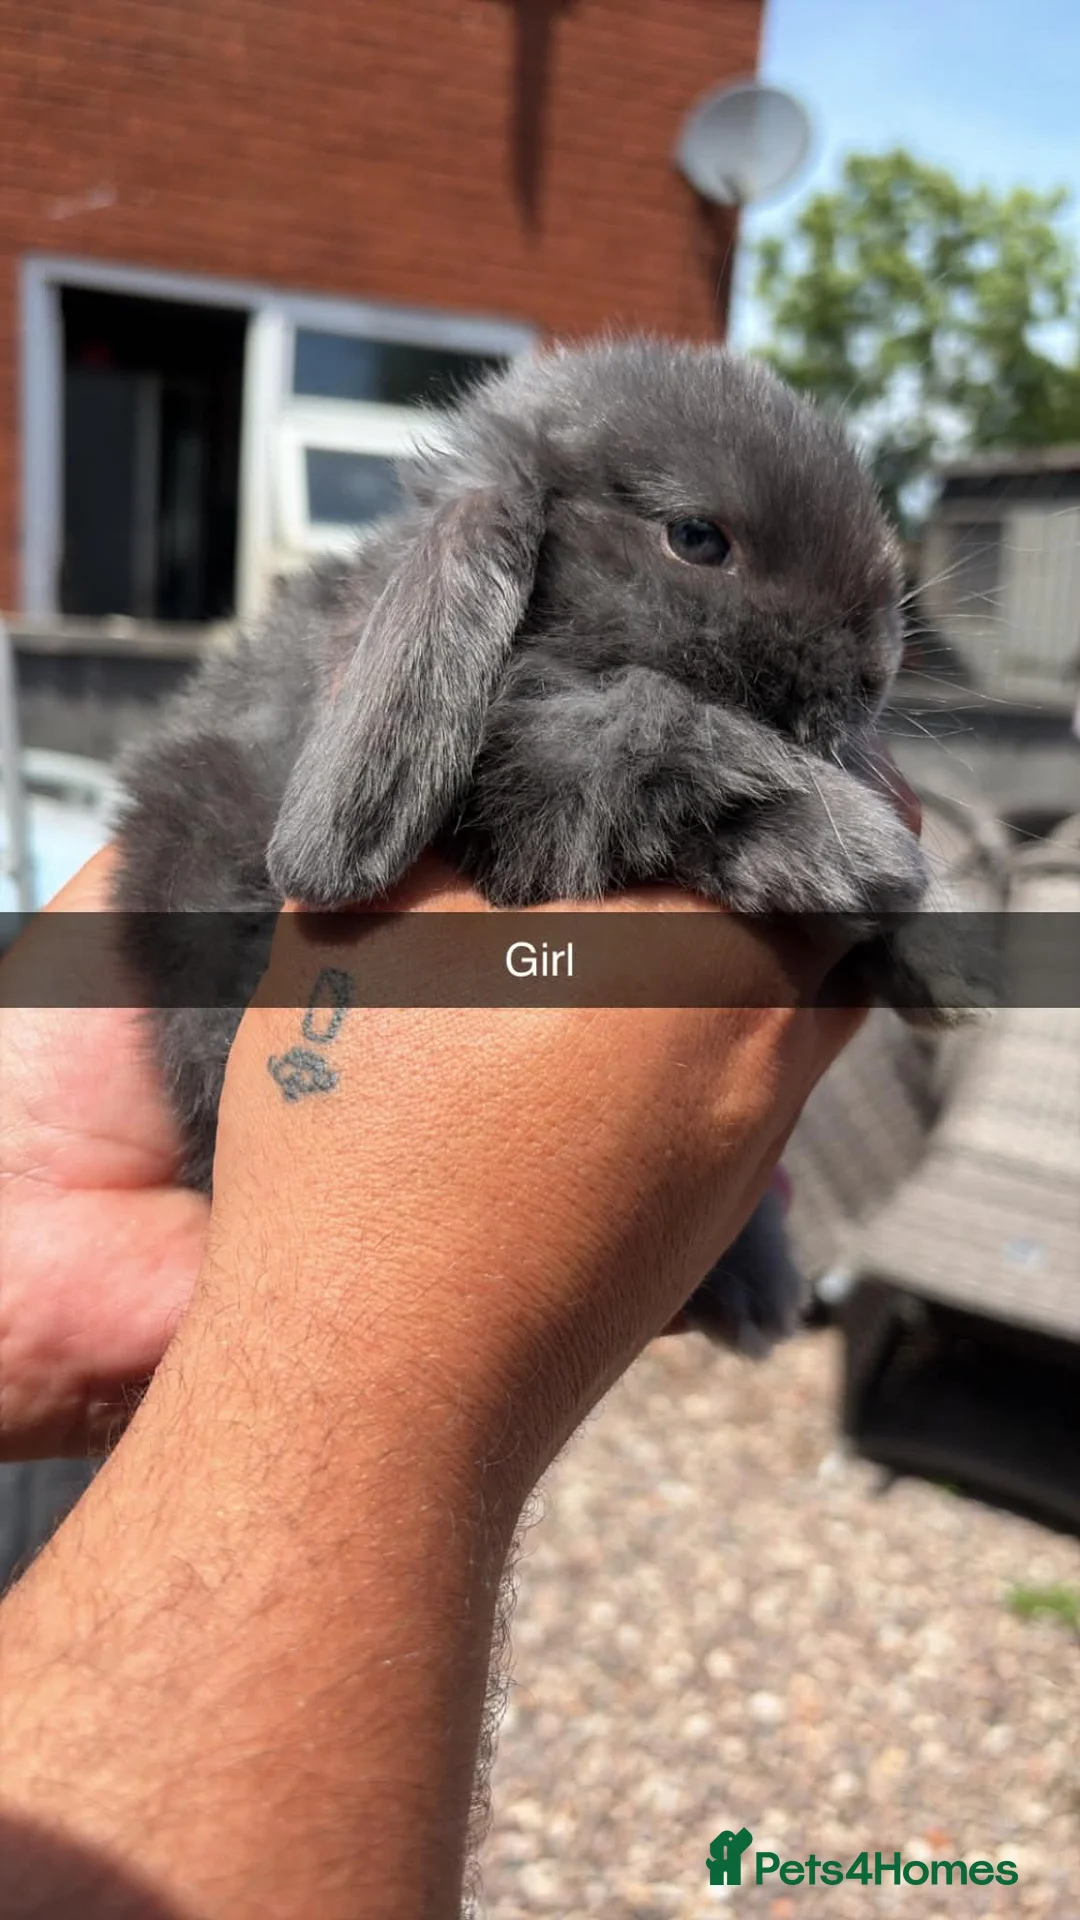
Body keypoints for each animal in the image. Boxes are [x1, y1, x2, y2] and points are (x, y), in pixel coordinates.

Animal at [112, 336, 938, 1346]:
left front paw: (936, 951)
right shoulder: (533, 796)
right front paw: (861, 853)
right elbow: (659, 731)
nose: (877, 672)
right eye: (696, 539)